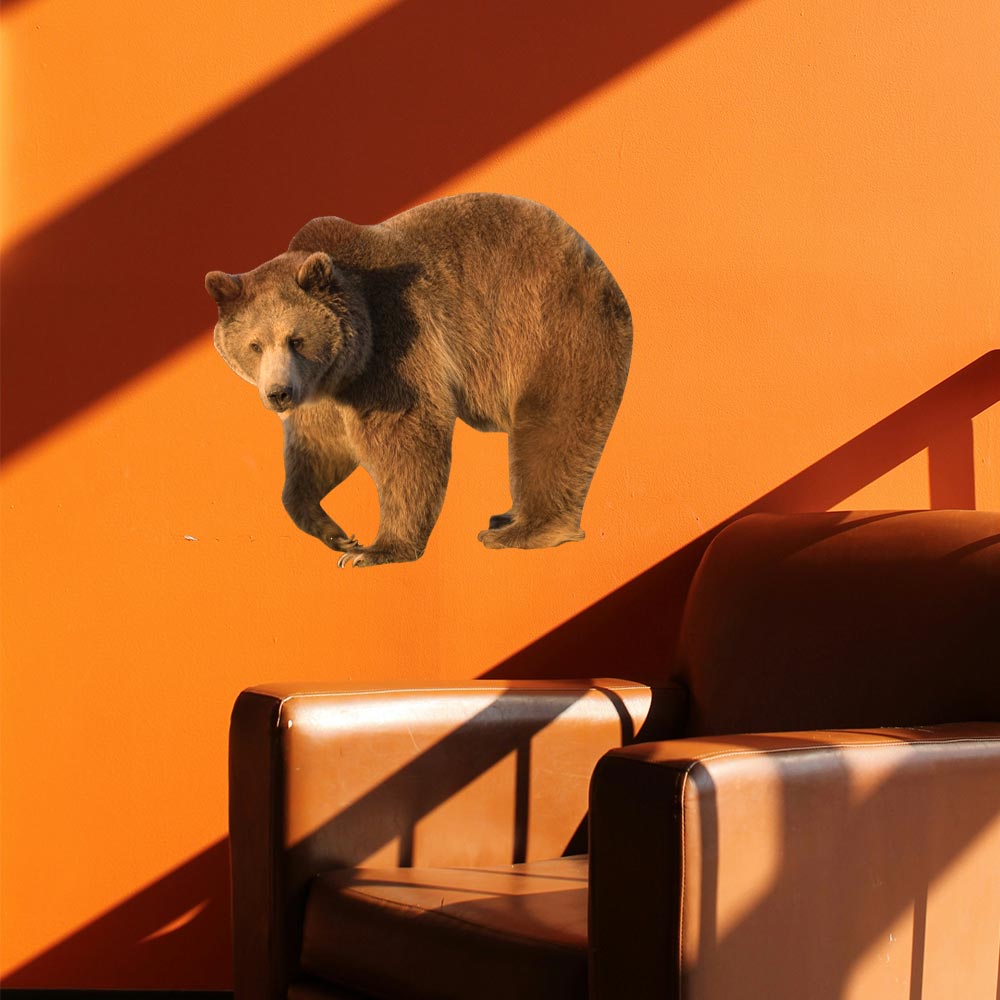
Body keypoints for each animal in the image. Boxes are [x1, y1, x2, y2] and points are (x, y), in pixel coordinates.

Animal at [205, 193, 632, 568]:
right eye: (255, 345)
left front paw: (376, 549)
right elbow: (319, 451)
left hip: (548, 327)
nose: (278, 394)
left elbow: (406, 438)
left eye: (296, 339)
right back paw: (506, 517)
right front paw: (337, 534)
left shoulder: (396, 345)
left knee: (551, 428)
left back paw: (520, 530)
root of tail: (593, 258)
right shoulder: (323, 395)